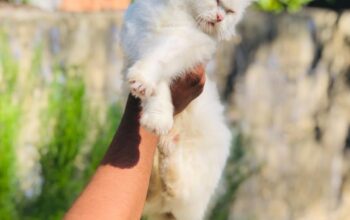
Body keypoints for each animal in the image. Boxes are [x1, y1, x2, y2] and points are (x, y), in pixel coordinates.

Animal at [120, 0, 252, 218]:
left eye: (230, 12)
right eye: (217, 2)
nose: (219, 18)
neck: (181, 13)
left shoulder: (187, 44)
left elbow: (160, 58)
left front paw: (153, 108)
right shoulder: (140, 33)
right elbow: (157, 83)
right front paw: (153, 108)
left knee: (178, 190)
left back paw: (169, 145)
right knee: (159, 188)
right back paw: (166, 143)